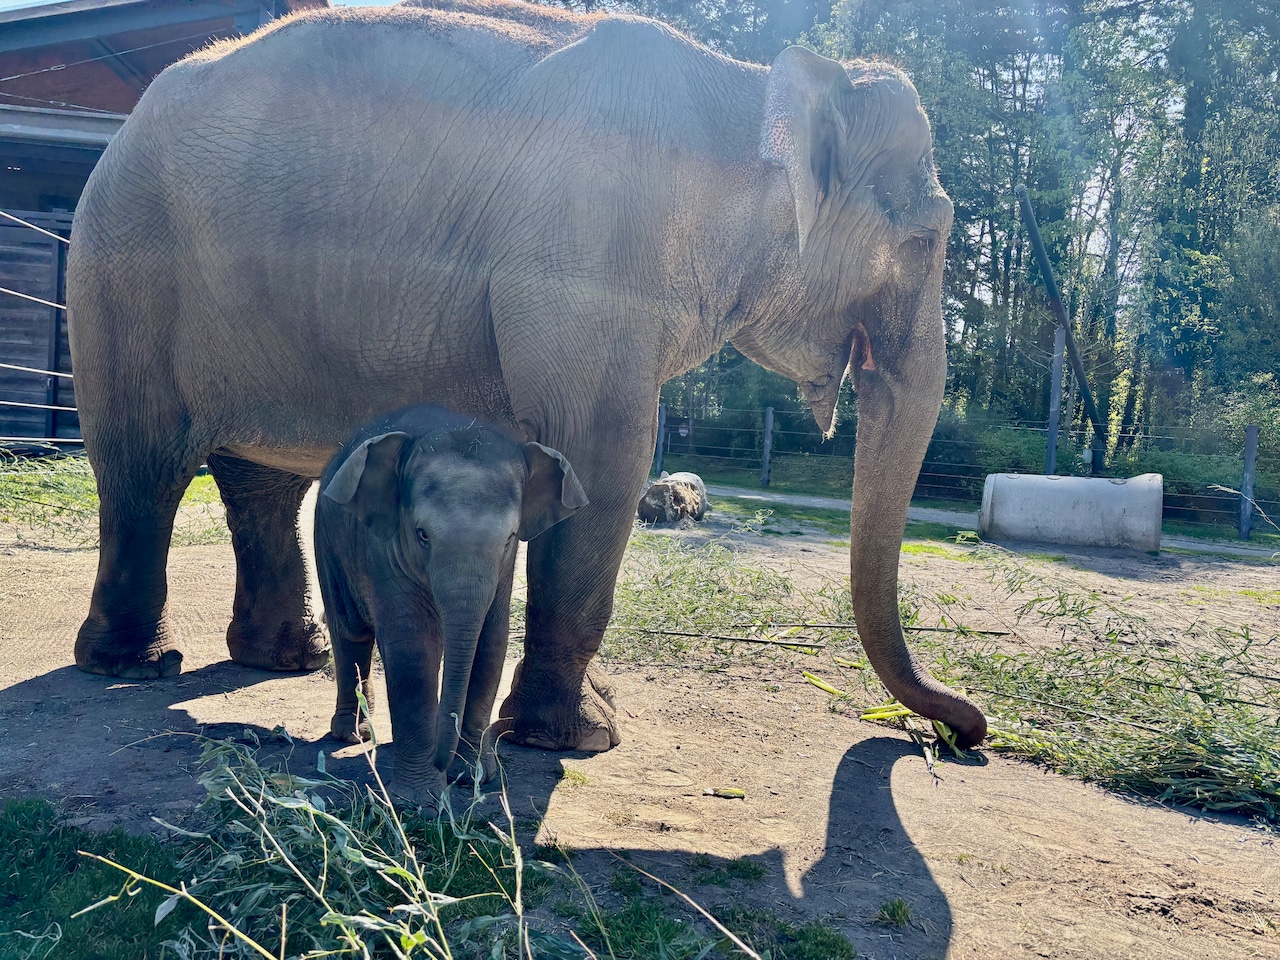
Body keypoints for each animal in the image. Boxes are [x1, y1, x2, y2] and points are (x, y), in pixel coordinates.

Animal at [66, 0, 987, 752]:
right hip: (122, 272)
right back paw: (134, 665)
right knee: (144, 466)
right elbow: (607, 453)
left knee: (262, 486)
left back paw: (288, 657)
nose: (961, 733)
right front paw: (579, 738)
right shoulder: (586, 256)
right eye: (925, 241)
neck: (749, 86)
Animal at [316, 404, 587, 804]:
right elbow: (413, 652)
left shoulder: (503, 574)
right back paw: (352, 734)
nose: (442, 764)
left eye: (509, 538)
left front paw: (474, 776)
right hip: (328, 542)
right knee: (350, 632)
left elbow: (490, 647)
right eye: (422, 535)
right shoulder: (383, 552)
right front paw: (418, 799)